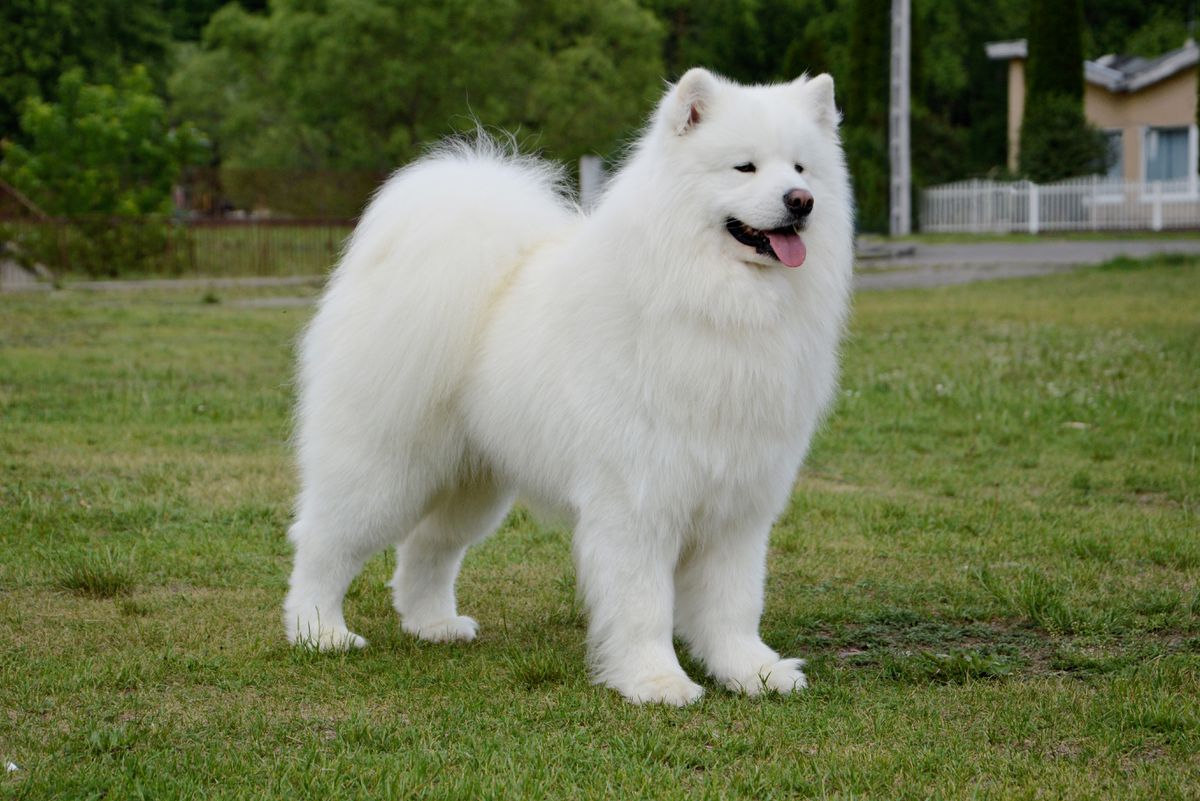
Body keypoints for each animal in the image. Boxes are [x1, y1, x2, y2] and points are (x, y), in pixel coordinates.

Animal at [284, 70, 854, 705]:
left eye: (801, 169)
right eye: (745, 167)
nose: (800, 202)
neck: (716, 302)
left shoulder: (739, 503)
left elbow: (734, 605)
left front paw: (752, 671)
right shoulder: (637, 501)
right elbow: (643, 605)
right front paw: (656, 680)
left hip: (472, 481)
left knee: (427, 547)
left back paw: (433, 624)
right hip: (384, 468)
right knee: (323, 542)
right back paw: (318, 632)